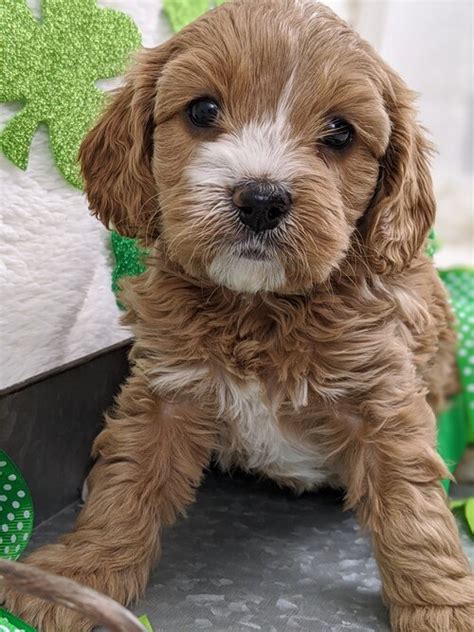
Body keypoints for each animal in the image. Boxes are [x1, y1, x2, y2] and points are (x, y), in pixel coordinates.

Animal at [5, 1, 472, 632]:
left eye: (340, 133)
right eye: (203, 110)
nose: (262, 199)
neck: (258, 307)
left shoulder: (382, 396)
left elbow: (413, 509)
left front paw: (442, 606)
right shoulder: (168, 388)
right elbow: (127, 479)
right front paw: (80, 577)